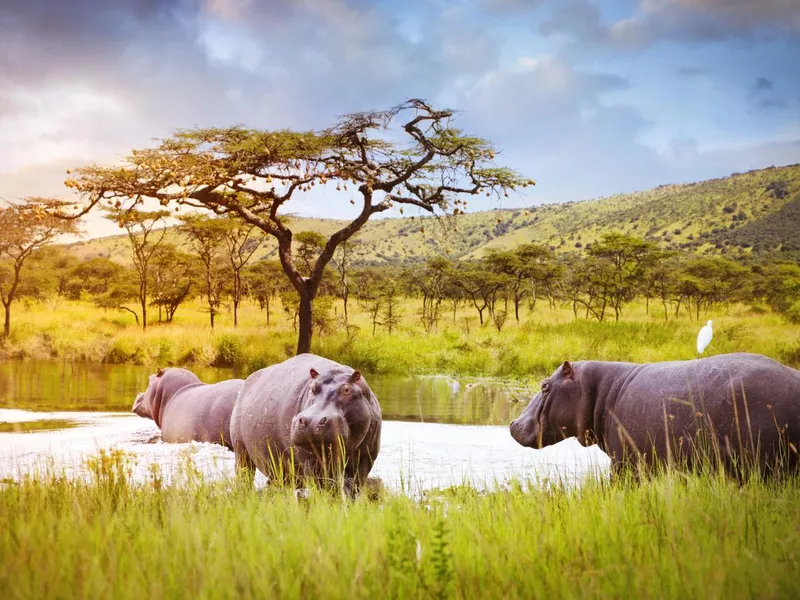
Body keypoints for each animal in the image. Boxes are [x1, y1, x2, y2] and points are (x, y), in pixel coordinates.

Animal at [230, 354, 382, 494]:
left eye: (346, 389)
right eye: (313, 387)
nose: (311, 422)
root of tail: (248, 380)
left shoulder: (365, 460)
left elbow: (354, 488)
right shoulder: (308, 460)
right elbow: (322, 488)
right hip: (241, 451)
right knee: (244, 475)